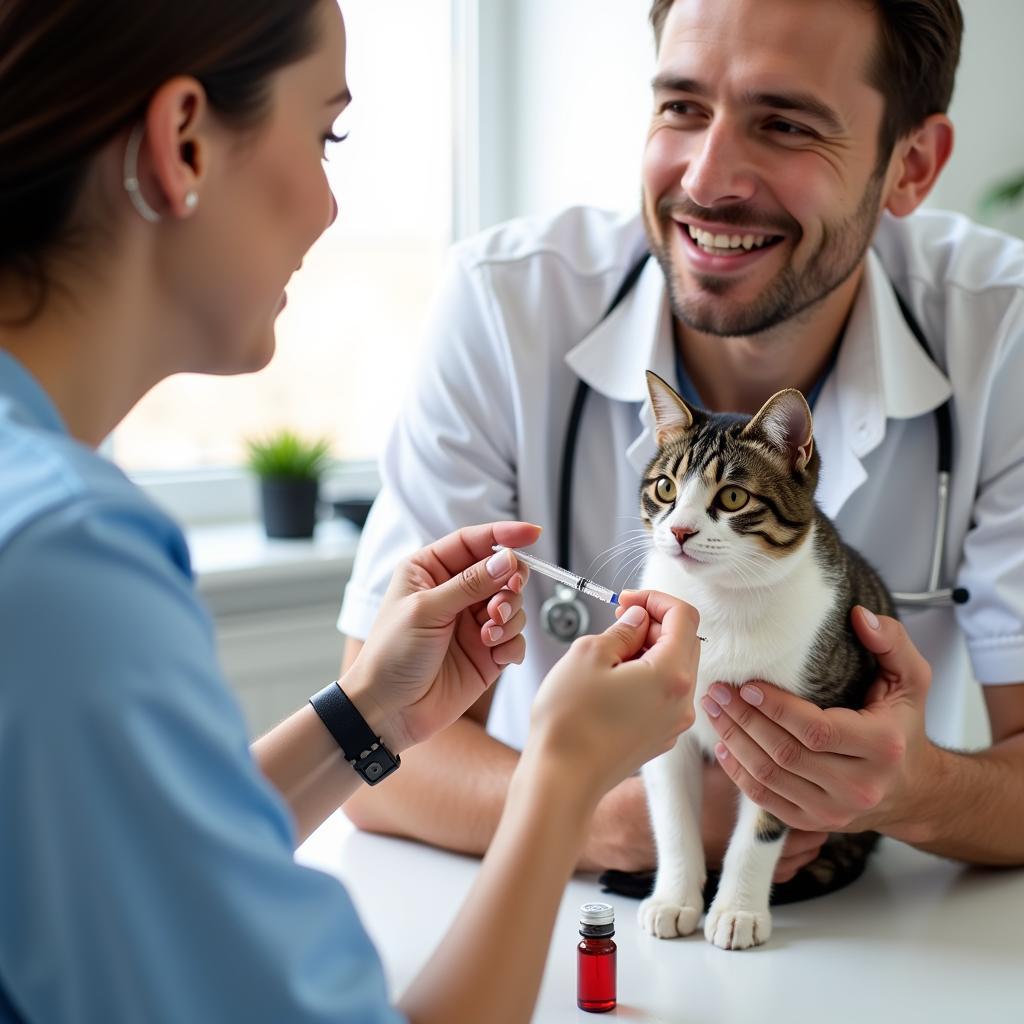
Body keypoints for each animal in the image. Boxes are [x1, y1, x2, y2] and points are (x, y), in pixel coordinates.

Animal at [638, 370, 888, 950]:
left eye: (732, 496)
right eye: (666, 489)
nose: (679, 531)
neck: (720, 601)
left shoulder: (790, 741)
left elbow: (763, 824)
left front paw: (738, 910)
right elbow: (672, 815)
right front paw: (674, 897)